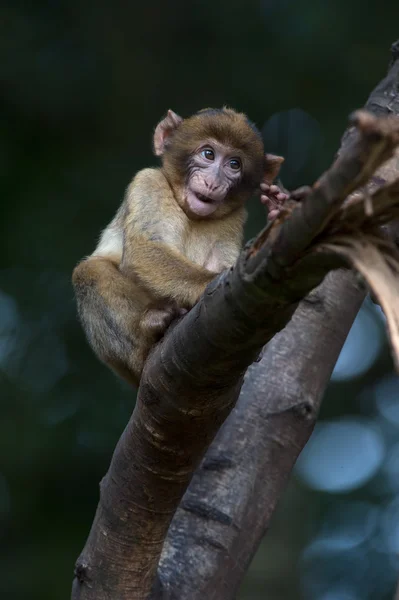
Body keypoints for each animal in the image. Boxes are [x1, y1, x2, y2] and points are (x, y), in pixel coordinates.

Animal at [72, 108, 288, 386]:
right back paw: (150, 330)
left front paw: (277, 210)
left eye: (234, 164)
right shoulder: (149, 182)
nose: (213, 182)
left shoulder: (235, 217)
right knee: (89, 272)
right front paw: (207, 284)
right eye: (208, 154)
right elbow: (145, 248)